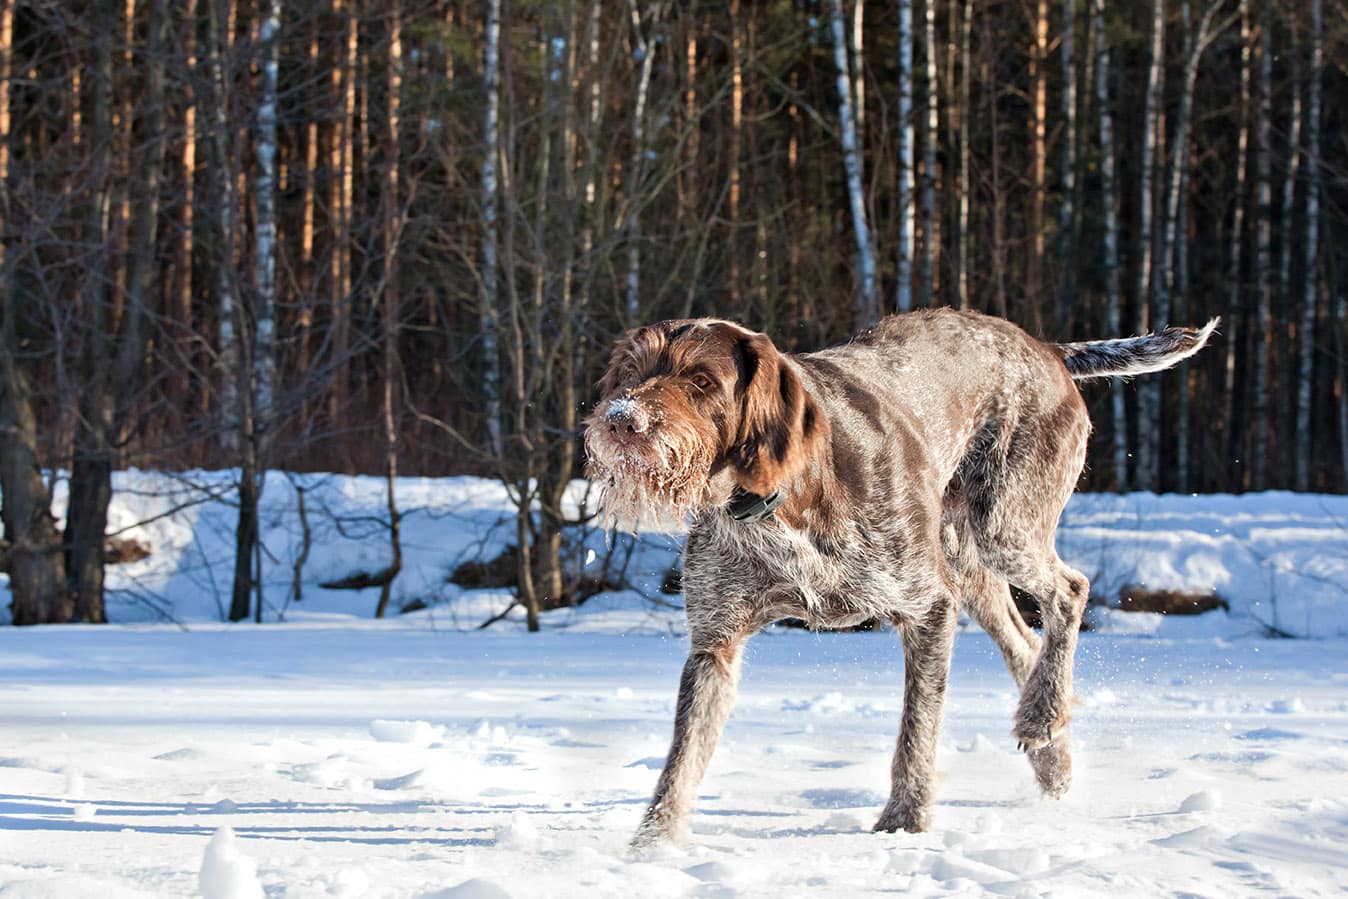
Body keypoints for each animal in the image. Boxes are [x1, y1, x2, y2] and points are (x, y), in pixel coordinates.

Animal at [585, 305, 1218, 846]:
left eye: (700, 381)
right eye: (630, 374)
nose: (621, 421)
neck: (779, 500)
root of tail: (1044, 347)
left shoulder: (928, 608)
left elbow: (917, 730)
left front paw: (904, 822)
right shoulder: (714, 643)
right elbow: (682, 757)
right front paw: (651, 846)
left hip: (1003, 525)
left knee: (1070, 590)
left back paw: (1042, 718)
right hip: (967, 562)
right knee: (1022, 640)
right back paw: (1051, 751)